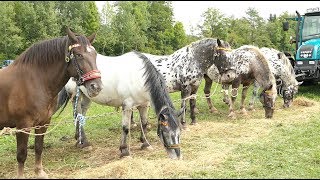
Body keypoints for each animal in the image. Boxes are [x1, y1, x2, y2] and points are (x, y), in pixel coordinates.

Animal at [0, 27, 102, 178]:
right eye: (78, 55)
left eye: (94, 55)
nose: (97, 87)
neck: (35, 81)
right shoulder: (23, 126)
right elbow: (21, 155)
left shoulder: (44, 122)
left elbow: (38, 148)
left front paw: (39, 172)